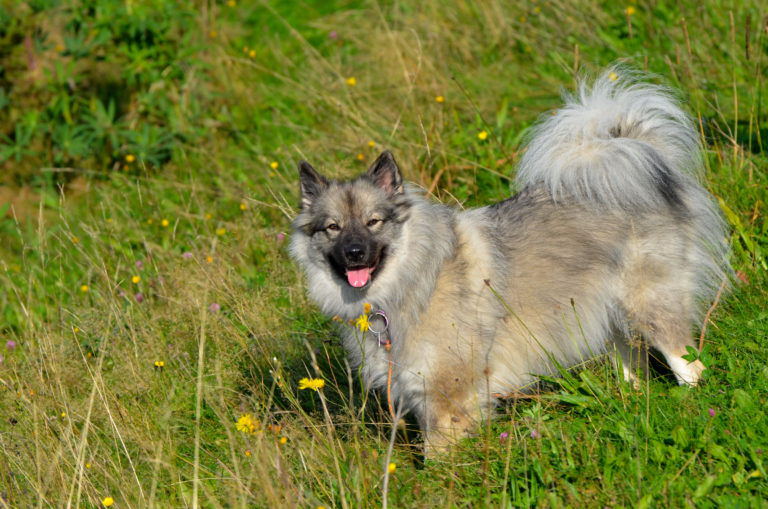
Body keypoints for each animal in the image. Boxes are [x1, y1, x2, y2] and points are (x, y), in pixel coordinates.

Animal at [290, 68, 732, 452]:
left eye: (373, 222)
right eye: (332, 228)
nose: (354, 253)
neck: (411, 281)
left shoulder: (446, 398)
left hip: (650, 306)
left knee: (690, 368)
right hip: (609, 318)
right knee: (633, 366)